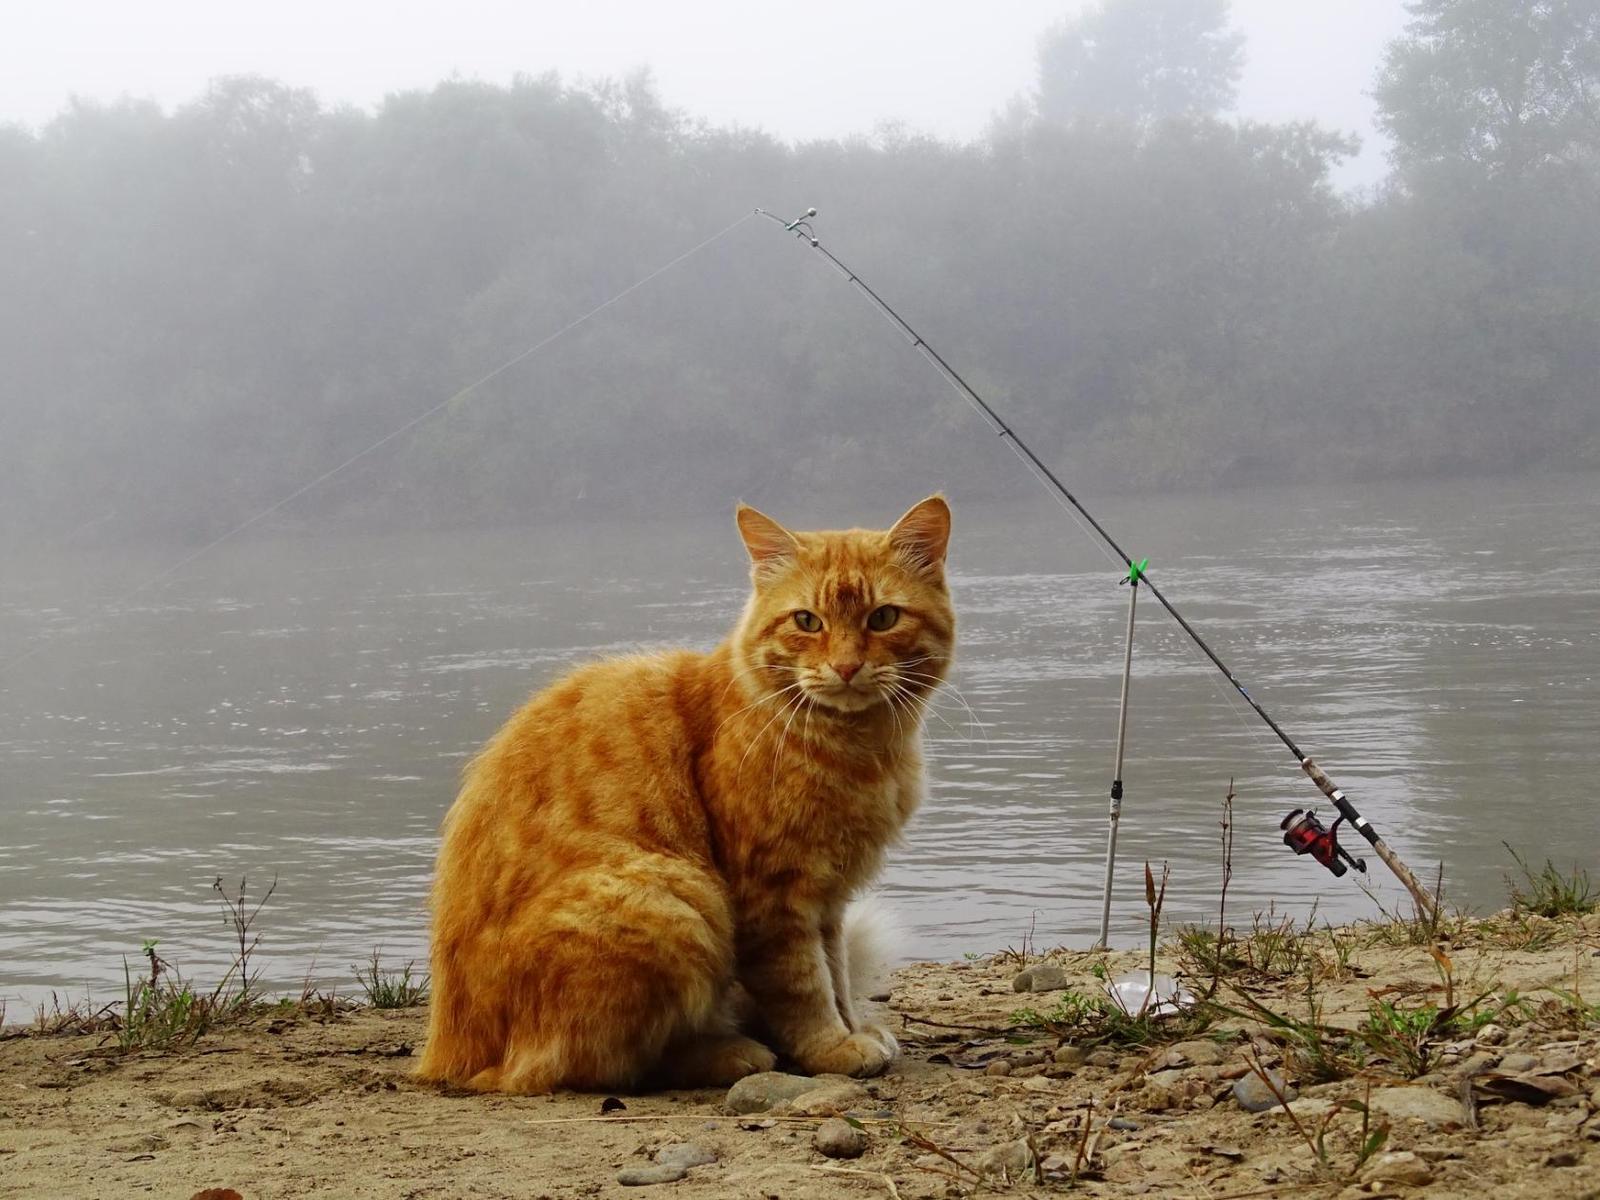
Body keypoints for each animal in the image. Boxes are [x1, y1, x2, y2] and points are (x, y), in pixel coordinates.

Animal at [419, 492, 953, 1094]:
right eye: (807, 621)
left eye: (882, 617)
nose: (846, 667)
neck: (857, 745)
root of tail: (444, 1053)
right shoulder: (774, 894)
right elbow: (805, 984)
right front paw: (831, 1047)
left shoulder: (830, 897)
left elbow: (836, 972)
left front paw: (852, 1027)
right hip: (675, 895)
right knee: (593, 1065)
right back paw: (728, 1053)